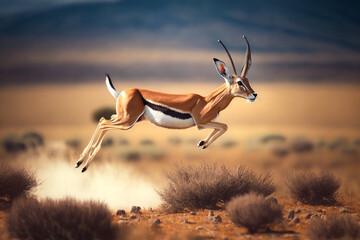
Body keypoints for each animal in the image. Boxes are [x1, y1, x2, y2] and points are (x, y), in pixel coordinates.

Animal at [76, 35, 256, 172]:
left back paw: (81, 162)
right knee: (103, 123)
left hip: (127, 119)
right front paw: (203, 143)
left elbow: (222, 127)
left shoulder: (207, 123)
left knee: (104, 121)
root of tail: (123, 92)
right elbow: (225, 126)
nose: (254, 95)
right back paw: (82, 164)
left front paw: (202, 143)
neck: (207, 101)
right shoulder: (201, 123)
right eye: (240, 82)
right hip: (127, 121)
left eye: (248, 80)